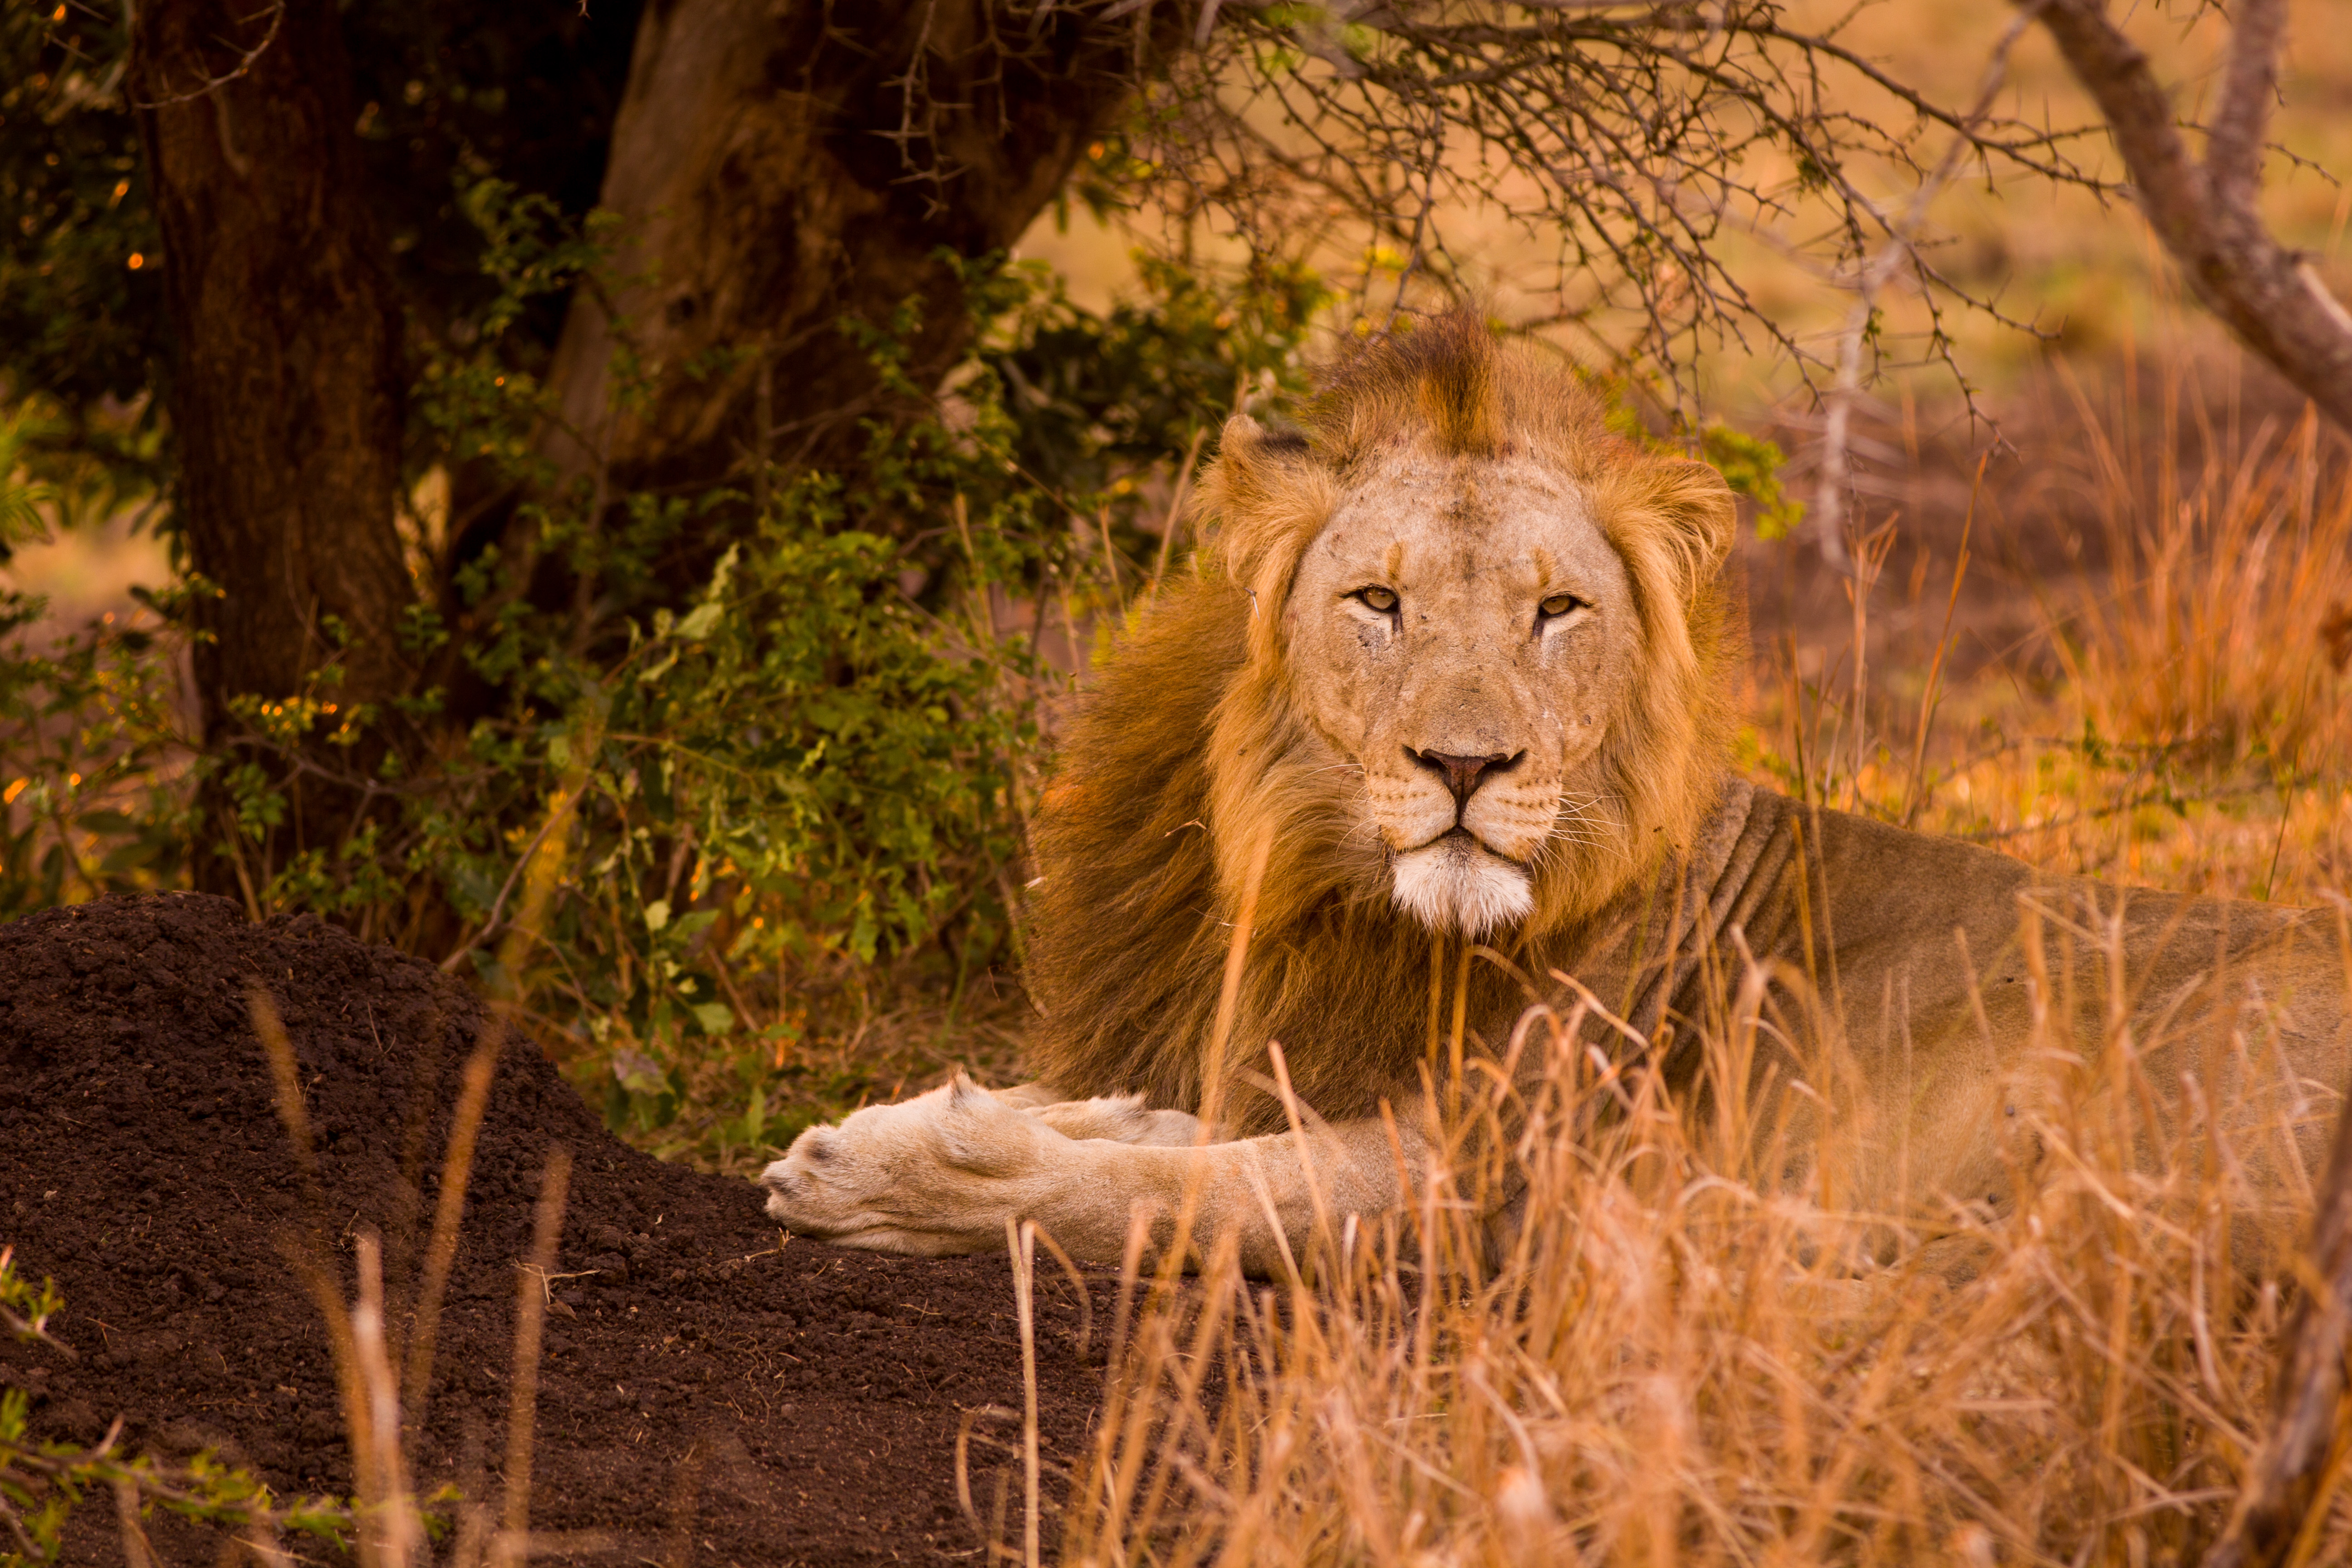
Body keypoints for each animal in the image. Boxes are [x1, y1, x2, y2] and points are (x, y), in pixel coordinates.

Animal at [759, 313, 2348, 1275]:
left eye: (1558, 612)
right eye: (1380, 601)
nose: (1468, 767)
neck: (1361, 913)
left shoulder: (1477, 1170)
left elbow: (1189, 1193)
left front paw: (916, 1181)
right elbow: (1176, 1132)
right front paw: (914, 1123)